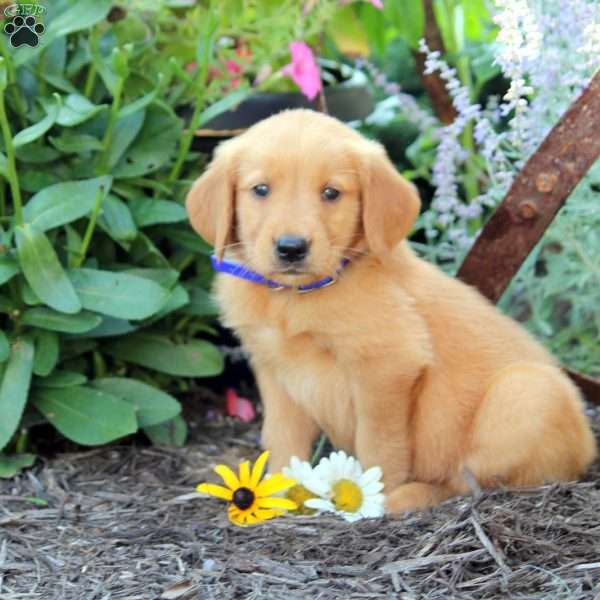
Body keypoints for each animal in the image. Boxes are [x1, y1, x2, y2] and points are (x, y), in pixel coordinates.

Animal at [185, 108, 596, 510]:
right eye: (261, 190)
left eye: (331, 193)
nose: (291, 247)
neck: (293, 297)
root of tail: (589, 449)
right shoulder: (274, 370)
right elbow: (282, 438)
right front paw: (279, 496)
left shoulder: (386, 367)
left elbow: (379, 444)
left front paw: (371, 499)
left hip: (527, 392)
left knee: (467, 482)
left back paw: (409, 498)